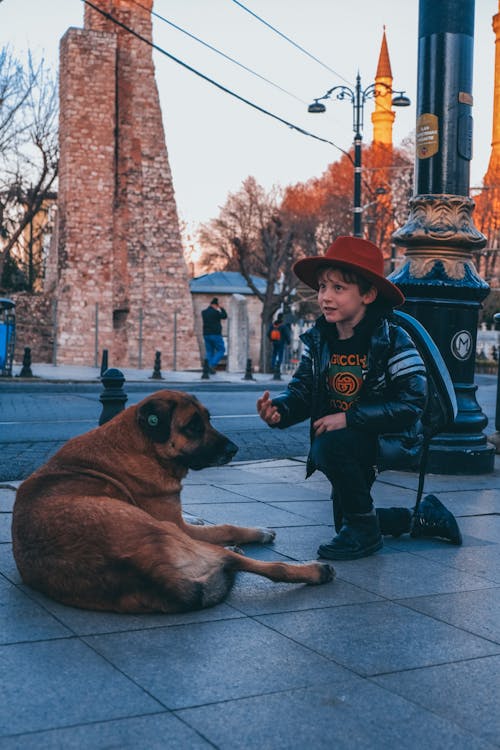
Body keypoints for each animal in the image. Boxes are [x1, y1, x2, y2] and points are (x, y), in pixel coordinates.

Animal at [11, 390, 334, 612]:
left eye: (208, 420)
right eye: (193, 426)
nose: (234, 449)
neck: (140, 446)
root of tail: (150, 571)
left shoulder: (176, 519)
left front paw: (198, 515)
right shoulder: (177, 525)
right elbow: (225, 526)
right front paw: (257, 532)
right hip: (177, 536)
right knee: (260, 566)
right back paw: (312, 570)